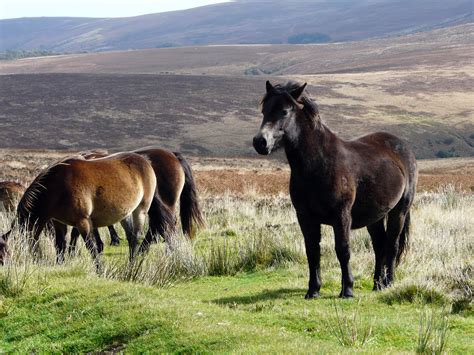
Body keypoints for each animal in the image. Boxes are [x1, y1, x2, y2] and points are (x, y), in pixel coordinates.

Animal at [0, 153, 158, 264]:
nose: (6, 263)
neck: (58, 187)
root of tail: (145, 161)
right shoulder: (58, 222)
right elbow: (60, 245)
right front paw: (60, 265)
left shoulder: (83, 221)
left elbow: (92, 248)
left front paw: (99, 271)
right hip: (125, 214)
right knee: (131, 237)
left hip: (140, 211)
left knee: (136, 237)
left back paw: (132, 266)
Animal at [254, 82, 416, 298]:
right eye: (264, 110)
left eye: (284, 111)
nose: (260, 142)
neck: (318, 165)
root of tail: (403, 146)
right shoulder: (305, 217)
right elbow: (312, 251)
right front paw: (313, 290)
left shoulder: (342, 216)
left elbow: (343, 250)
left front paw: (347, 289)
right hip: (375, 216)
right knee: (379, 246)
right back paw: (377, 284)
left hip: (399, 211)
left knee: (392, 245)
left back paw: (388, 282)